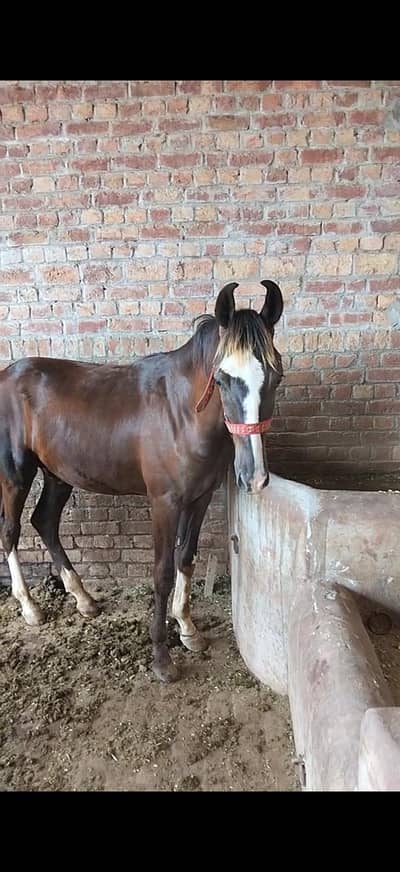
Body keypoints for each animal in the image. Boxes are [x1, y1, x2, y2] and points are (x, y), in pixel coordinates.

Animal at [0, 279, 284, 682]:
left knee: (45, 522)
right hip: (15, 473)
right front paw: (162, 658)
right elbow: (163, 572)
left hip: (58, 474)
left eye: (276, 376)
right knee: (10, 531)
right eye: (223, 378)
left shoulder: (199, 499)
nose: (254, 477)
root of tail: (6, 375)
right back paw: (30, 607)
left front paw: (188, 629)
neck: (180, 415)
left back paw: (84, 600)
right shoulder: (164, 503)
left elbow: (186, 558)